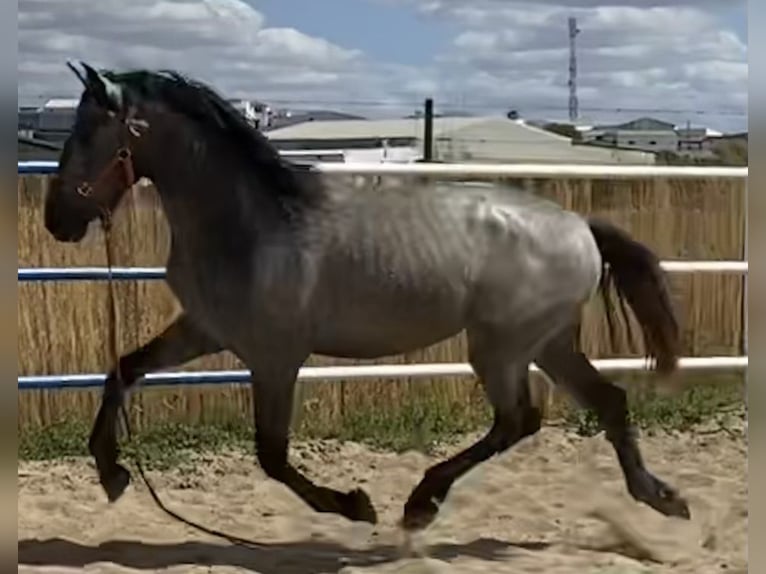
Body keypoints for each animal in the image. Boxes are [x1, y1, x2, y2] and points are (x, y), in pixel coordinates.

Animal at [42, 60, 692, 532]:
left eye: (87, 130)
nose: (57, 220)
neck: (252, 221)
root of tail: (581, 227)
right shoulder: (204, 329)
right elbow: (123, 369)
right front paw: (111, 473)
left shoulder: (276, 357)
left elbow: (271, 454)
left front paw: (355, 505)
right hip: (548, 342)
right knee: (605, 402)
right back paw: (661, 498)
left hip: (502, 347)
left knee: (519, 420)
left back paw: (420, 504)